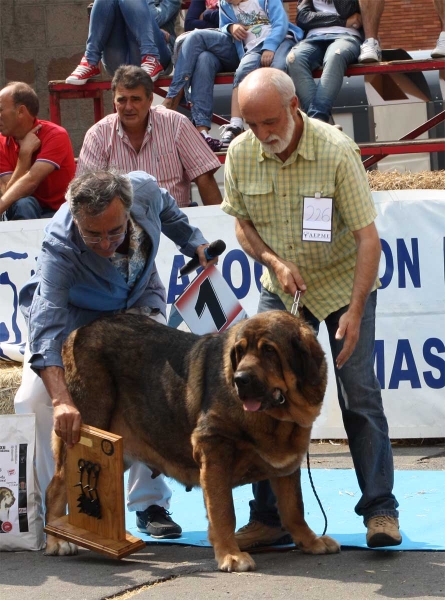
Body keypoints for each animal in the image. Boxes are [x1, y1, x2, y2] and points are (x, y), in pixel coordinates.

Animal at [45, 312, 338, 568]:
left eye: (269, 350)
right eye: (240, 352)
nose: (240, 379)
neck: (278, 418)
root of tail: (78, 332)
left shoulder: (286, 463)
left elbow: (294, 507)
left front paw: (310, 541)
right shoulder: (214, 449)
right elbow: (223, 510)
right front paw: (231, 555)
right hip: (86, 430)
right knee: (56, 488)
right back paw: (56, 540)